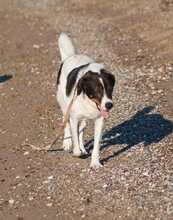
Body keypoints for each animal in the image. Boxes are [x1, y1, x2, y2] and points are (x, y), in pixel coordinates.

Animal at [56, 32, 115, 168]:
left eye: (110, 89)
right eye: (97, 91)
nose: (109, 105)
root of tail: (71, 56)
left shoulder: (99, 120)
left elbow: (96, 145)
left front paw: (95, 162)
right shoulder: (74, 117)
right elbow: (75, 142)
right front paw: (76, 151)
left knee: (82, 128)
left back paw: (82, 147)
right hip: (64, 104)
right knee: (66, 122)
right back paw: (68, 143)